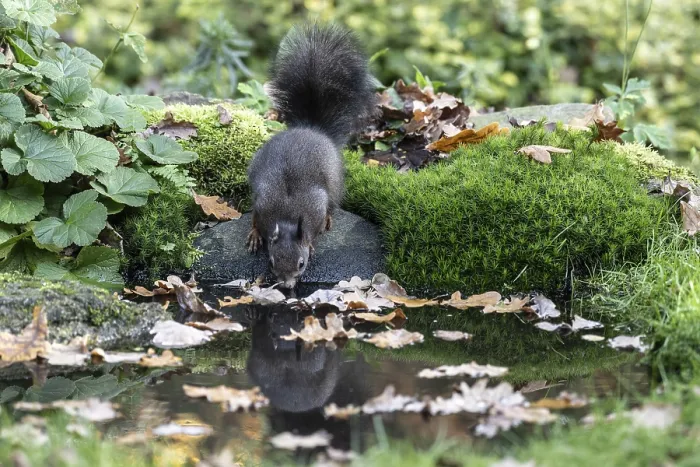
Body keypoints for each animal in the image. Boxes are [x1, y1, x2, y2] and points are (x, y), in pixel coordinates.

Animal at [246, 24, 376, 288]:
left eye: (301, 264)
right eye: (272, 262)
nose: (286, 286)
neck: (286, 216)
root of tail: (312, 129)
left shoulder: (314, 206)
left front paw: (313, 244)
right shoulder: (262, 204)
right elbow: (255, 219)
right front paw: (254, 235)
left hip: (335, 184)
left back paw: (329, 219)